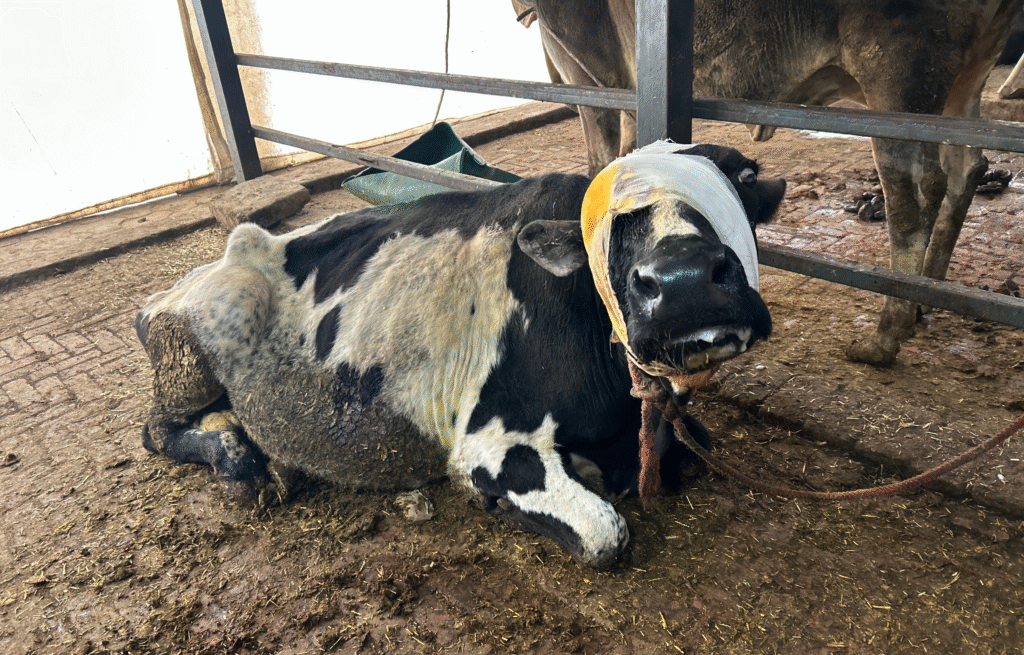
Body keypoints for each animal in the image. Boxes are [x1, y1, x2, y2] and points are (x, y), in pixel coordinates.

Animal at [136, 142, 785, 567]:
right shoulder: (492, 440)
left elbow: (691, 446)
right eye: (606, 224)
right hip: (189, 355)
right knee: (155, 430)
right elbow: (605, 534)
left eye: (744, 176)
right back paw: (238, 456)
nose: (684, 283)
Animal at [515, 0, 1023, 366]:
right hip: (967, 77)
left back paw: (886, 335)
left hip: (900, 75)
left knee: (912, 198)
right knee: (966, 168)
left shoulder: (596, 78)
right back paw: (927, 297)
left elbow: (602, 167)